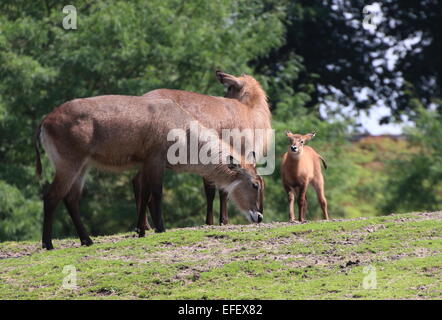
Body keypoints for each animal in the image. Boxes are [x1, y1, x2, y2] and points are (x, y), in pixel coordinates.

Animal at [35, 95, 262, 250]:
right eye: (255, 184)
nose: (259, 216)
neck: (183, 128)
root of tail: (45, 121)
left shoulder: (144, 163)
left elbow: (144, 194)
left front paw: (141, 229)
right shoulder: (155, 160)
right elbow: (156, 193)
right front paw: (160, 227)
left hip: (83, 166)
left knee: (71, 198)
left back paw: (87, 240)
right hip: (69, 164)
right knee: (51, 196)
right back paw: (48, 243)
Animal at [133, 70, 272, 235]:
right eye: (229, 87)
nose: (260, 216)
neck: (248, 110)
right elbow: (219, 190)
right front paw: (219, 221)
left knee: (138, 182)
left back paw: (146, 225)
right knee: (140, 183)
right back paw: (146, 226)